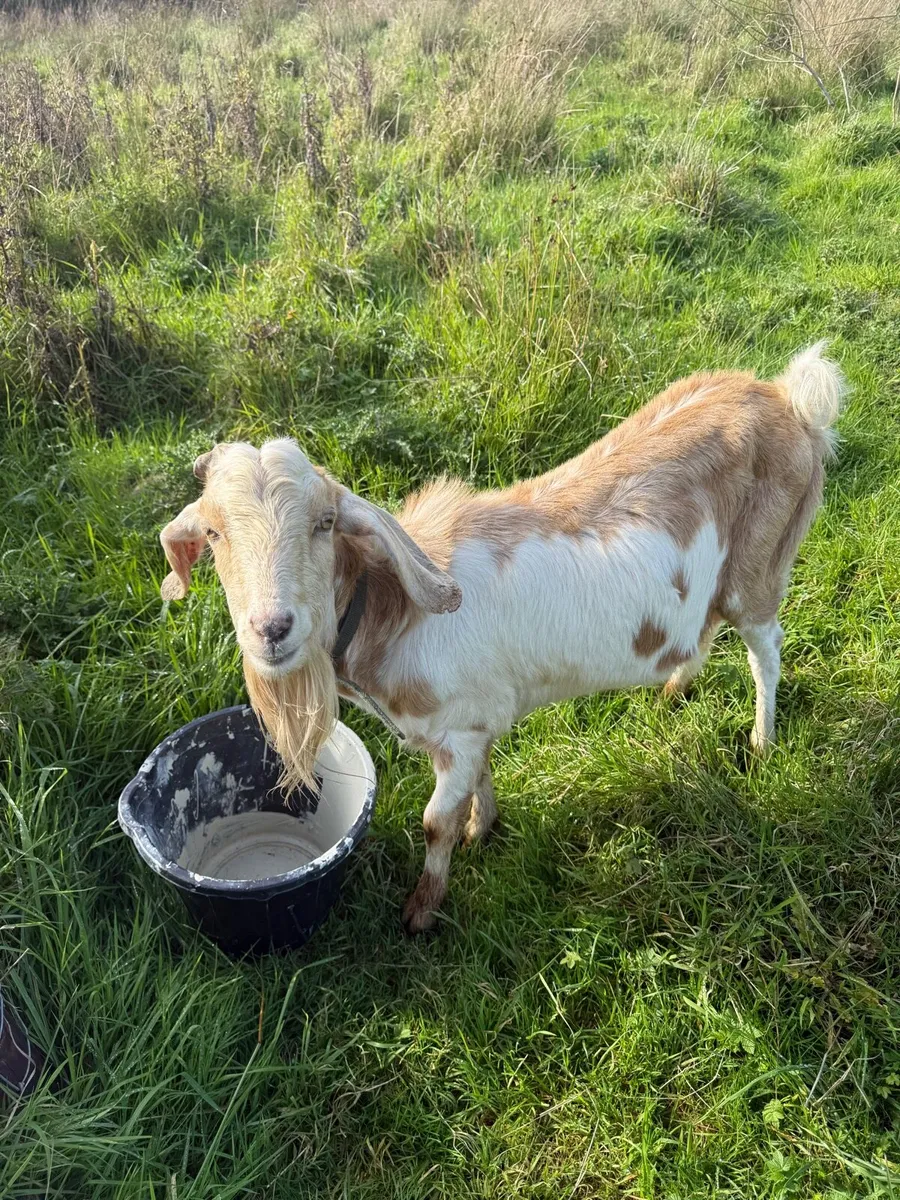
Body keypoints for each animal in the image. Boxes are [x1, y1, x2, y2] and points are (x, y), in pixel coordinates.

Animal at [159, 343, 846, 933]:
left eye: (325, 523)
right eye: (213, 534)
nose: (271, 628)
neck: (391, 613)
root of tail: (790, 402)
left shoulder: (459, 729)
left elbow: (435, 822)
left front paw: (421, 911)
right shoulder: (472, 721)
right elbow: (478, 783)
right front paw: (482, 830)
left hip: (758, 571)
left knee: (765, 653)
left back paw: (762, 741)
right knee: (702, 633)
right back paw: (672, 690)